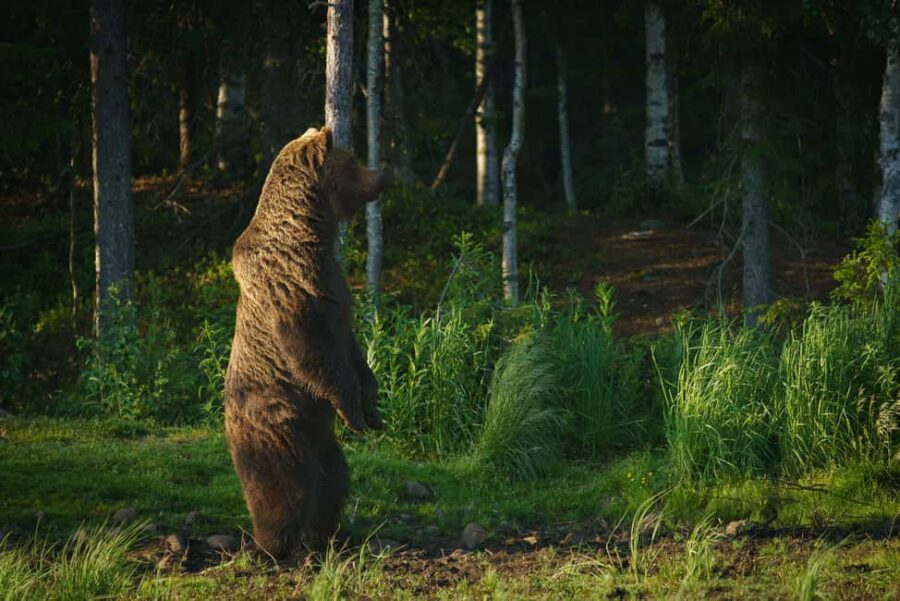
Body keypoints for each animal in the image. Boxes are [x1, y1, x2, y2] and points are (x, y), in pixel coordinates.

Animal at [224, 126, 384, 559]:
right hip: (275, 418)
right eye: (353, 159)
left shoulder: (332, 283)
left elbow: (350, 347)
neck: (309, 232)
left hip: (319, 434)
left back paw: (326, 536)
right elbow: (312, 350)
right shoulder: (292, 286)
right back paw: (271, 544)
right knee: (286, 483)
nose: (380, 176)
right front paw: (355, 411)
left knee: (334, 477)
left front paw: (372, 407)